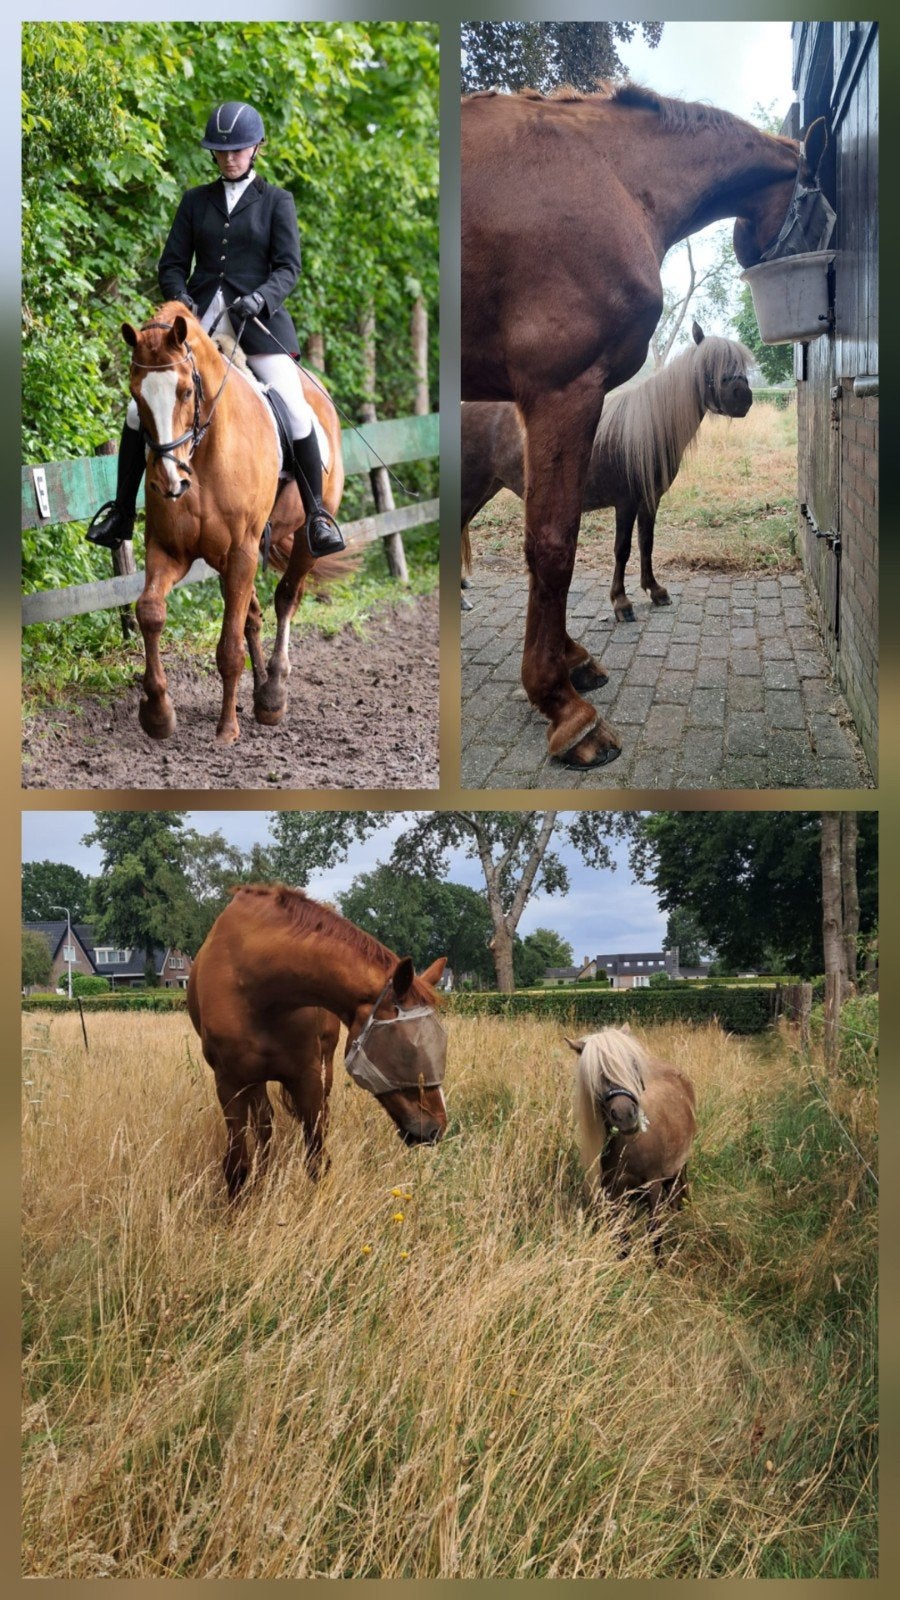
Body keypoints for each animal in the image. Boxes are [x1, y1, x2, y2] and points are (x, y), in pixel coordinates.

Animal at [125, 301, 346, 745]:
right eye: (136, 395)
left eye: (185, 391)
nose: (169, 481)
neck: (206, 453)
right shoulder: (168, 549)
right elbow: (151, 612)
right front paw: (157, 712)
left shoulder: (242, 551)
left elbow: (229, 647)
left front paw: (227, 729)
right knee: (253, 615)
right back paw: (260, 690)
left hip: (302, 539)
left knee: (286, 597)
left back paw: (273, 693)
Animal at [187, 883, 448, 1198]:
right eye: (408, 1049)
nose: (437, 1128)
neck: (256, 986)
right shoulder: (230, 1084)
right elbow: (237, 1165)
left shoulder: (307, 1075)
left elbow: (317, 1158)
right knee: (264, 1127)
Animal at [462, 322, 753, 623]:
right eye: (709, 365)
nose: (743, 397)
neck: (646, 429)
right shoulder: (625, 503)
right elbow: (622, 550)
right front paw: (621, 602)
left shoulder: (650, 501)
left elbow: (646, 543)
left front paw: (655, 589)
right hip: (470, 489)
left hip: (486, 489)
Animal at [566, 1025, 697, 1259]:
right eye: (596, 1074)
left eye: (633, 1066)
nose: (626, 1115)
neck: (631, 1145)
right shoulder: (614, 1194)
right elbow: (622, 1236)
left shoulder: (653, 1185)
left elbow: (654, 1231)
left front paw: (658, 1264)